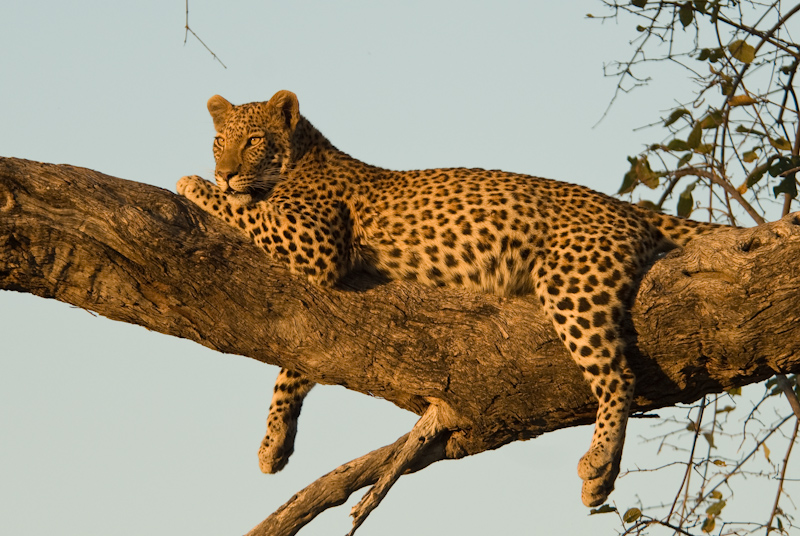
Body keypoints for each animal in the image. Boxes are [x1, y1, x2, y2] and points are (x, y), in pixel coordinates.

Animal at [177, 89, 732, 506]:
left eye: (253, 141)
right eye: (218, 141)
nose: (224, 170)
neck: (302, 156)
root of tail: (626, 206)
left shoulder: (315, 244)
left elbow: (245, 211)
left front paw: (193, 183)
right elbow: (294, 366)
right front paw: (274, 443)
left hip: (573, 287)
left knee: (619, 374)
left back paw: (599, 467)